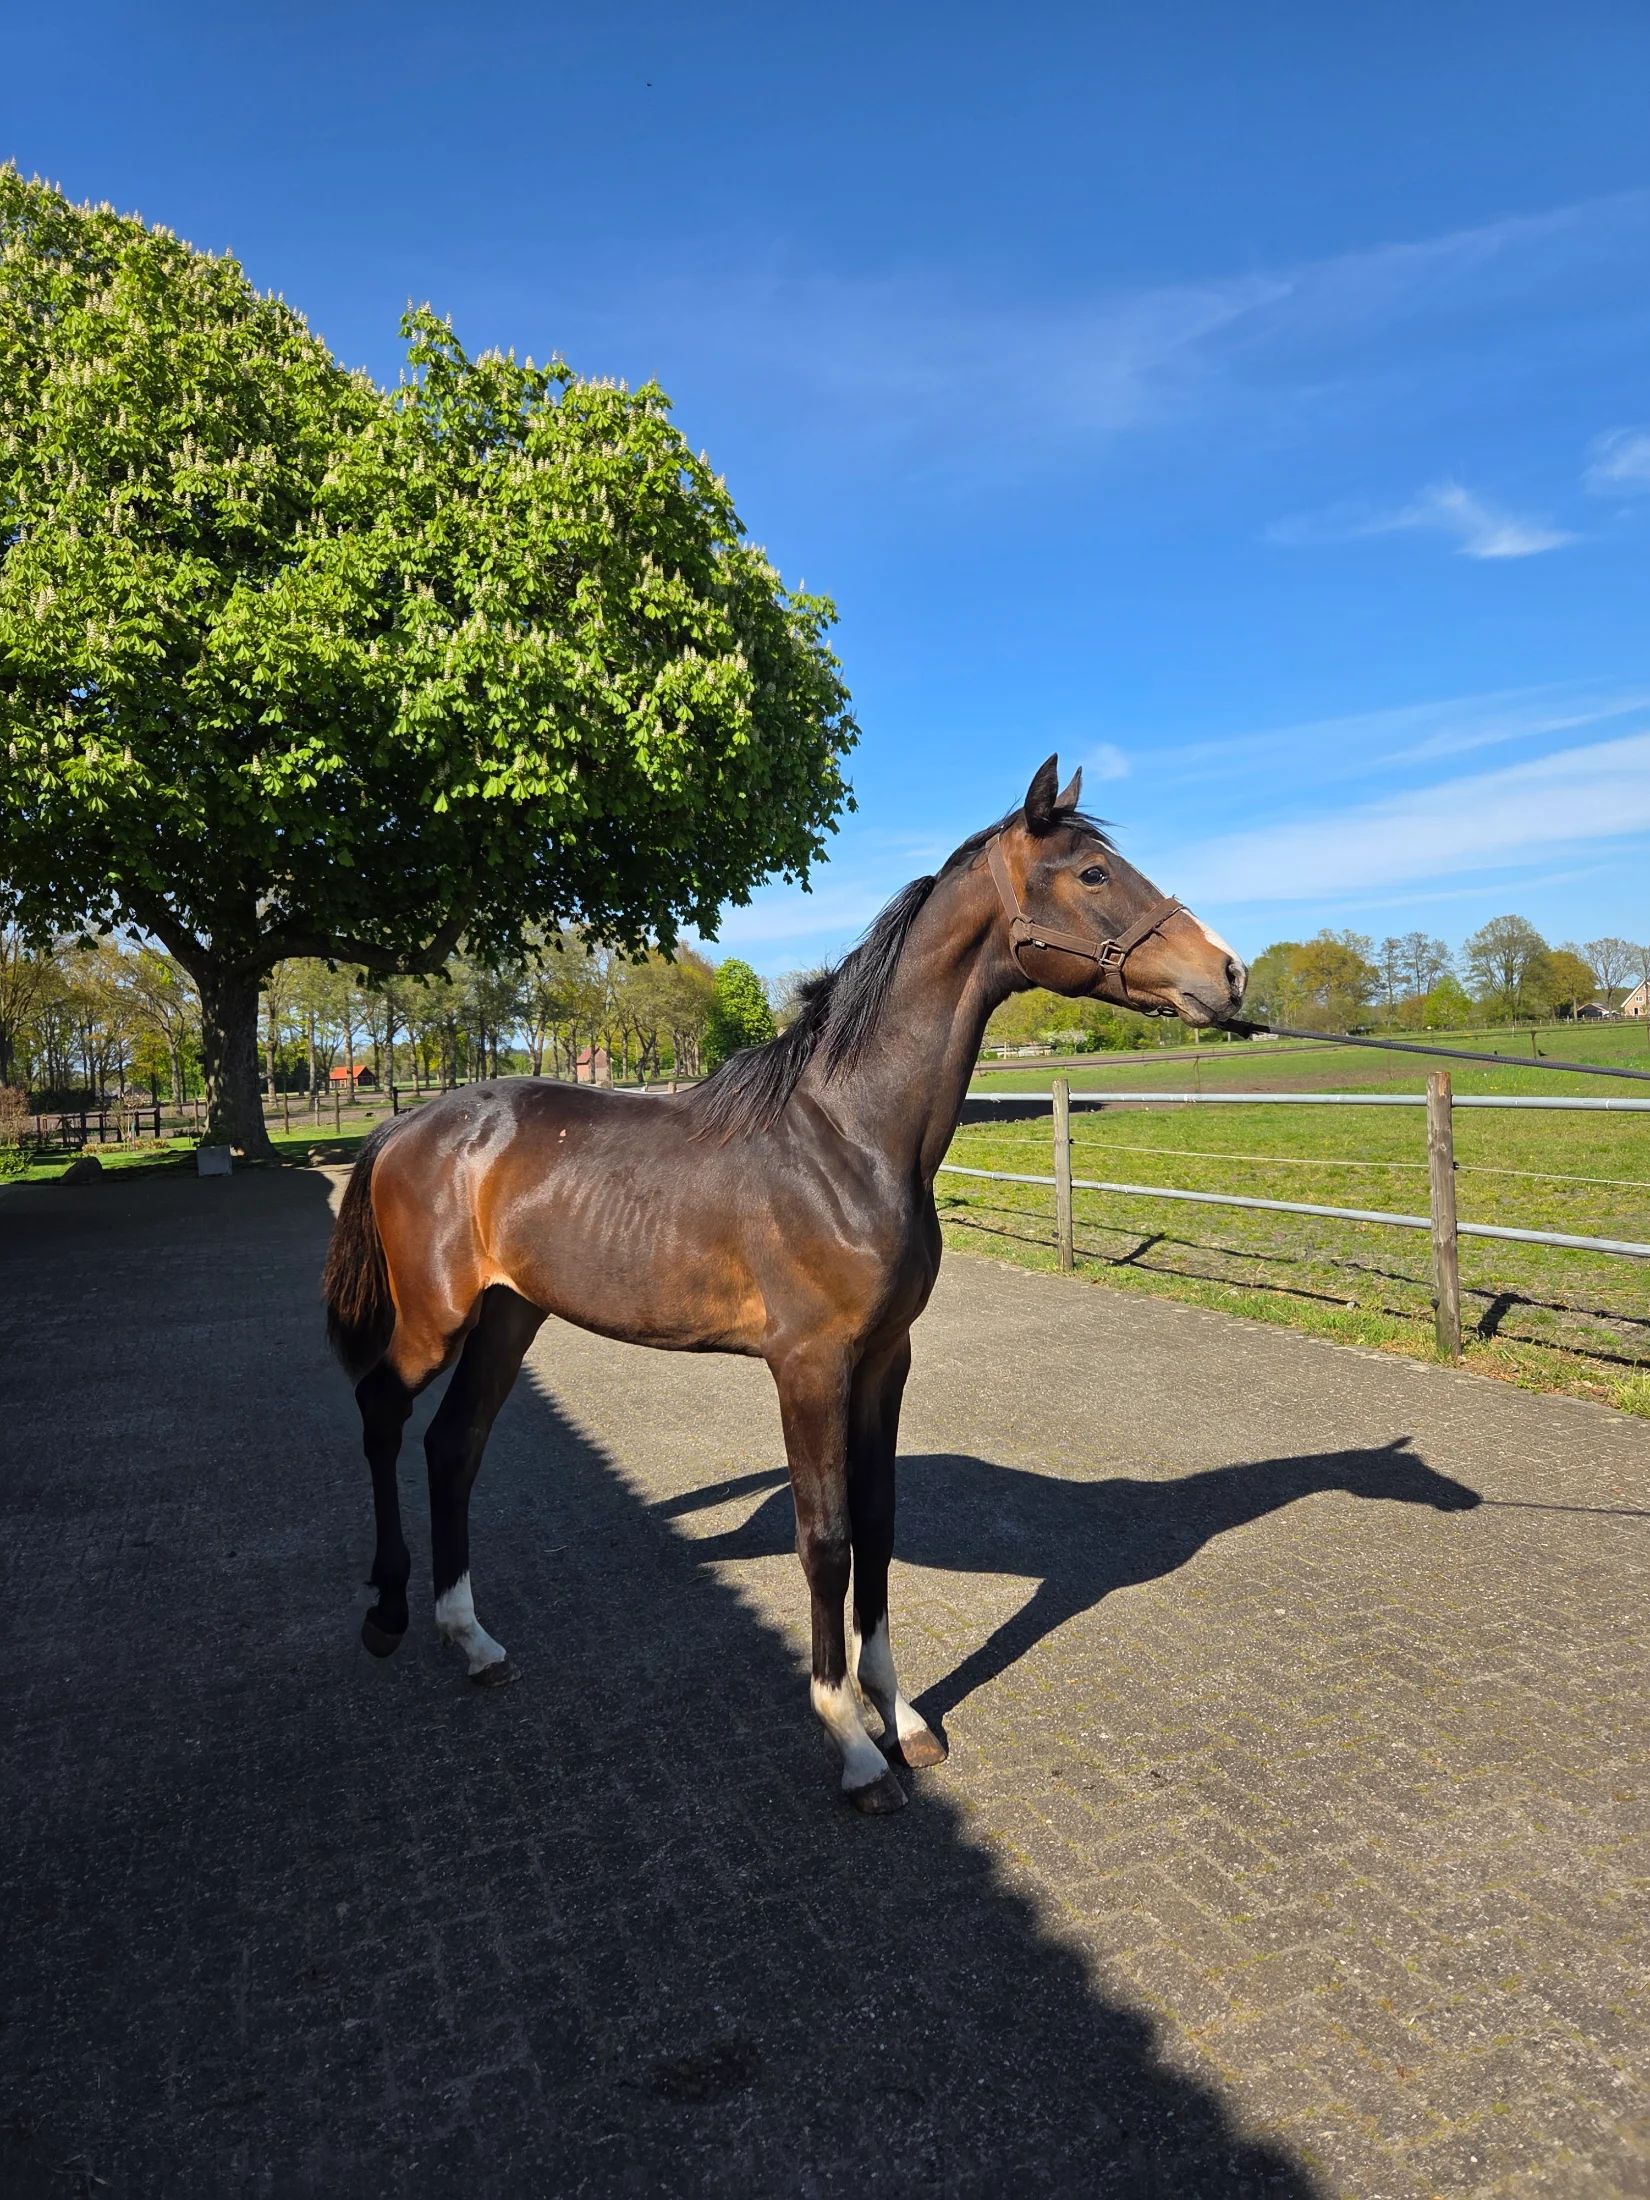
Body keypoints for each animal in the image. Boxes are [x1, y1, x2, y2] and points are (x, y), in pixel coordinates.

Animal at [321, 756, 1247, 1812]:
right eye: (1092, 873)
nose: (1228, 974)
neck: (849, 1139)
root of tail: (410, 1123)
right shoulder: (808, 1368)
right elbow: (827, 1538)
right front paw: (850, 1741)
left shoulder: (885, 1362)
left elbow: (878, 1522)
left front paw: (903, 1717)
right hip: (436, 1319)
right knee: (384, 1415)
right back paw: (389, 1615)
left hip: (510, 1319)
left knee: (453, 1448)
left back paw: (472, 1640)